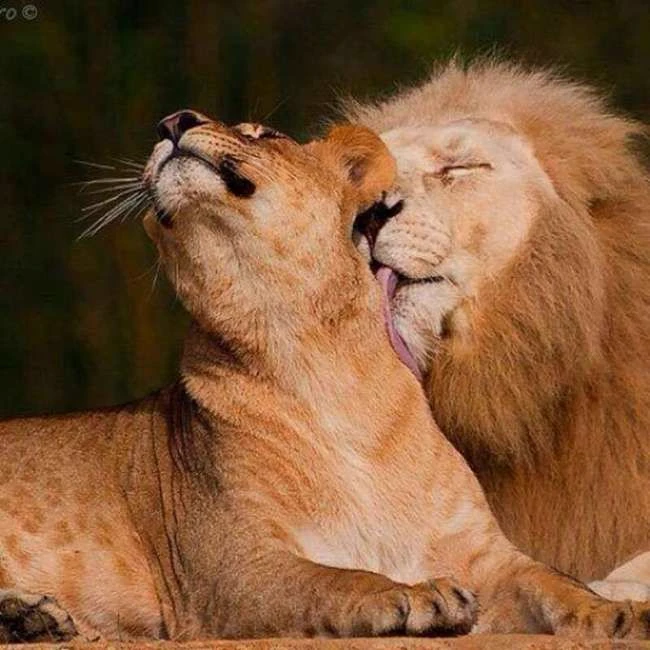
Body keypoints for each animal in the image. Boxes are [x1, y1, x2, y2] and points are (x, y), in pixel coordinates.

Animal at [1, 111, 648, 643]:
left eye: (263, 132)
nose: (171, 121)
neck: (319, 363)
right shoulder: (230, 568)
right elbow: (335, 579)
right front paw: (415, 595)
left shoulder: (484, 554)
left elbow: (555, 580)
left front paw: (618, 614)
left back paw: (35, 620)